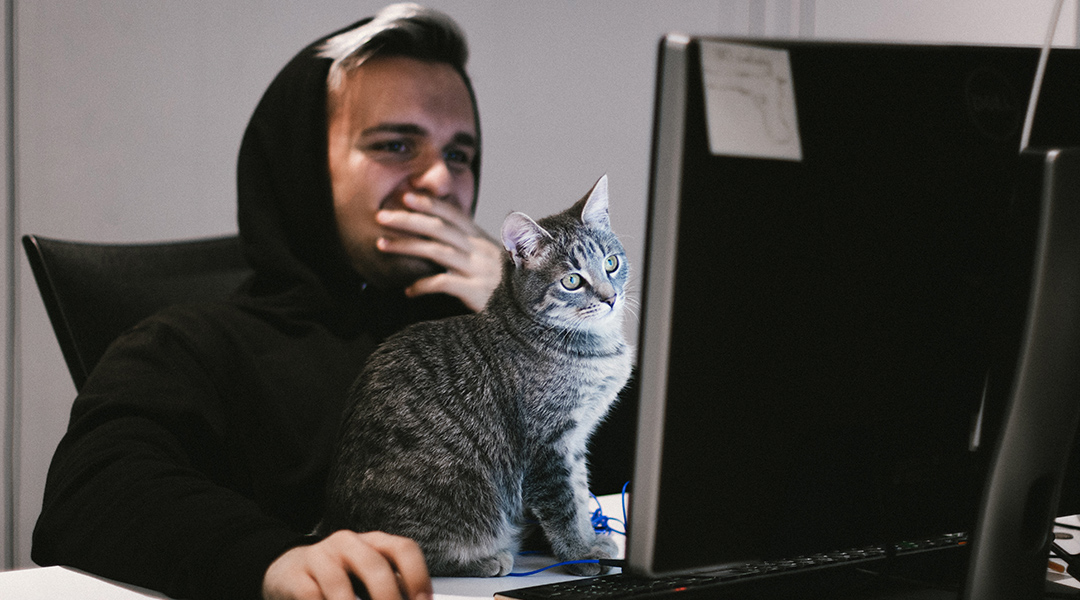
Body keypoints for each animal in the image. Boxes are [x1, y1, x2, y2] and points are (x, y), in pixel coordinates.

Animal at [315, 174, 630, 578]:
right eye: (572, 281)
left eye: (611, 263)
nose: (610, 297)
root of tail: (334, 523)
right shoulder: (548, 444)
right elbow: (564, 505)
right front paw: (580, 552)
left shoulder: (574, 441)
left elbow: (578, 490)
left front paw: (591, 539)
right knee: (412, 553)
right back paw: (487, 559)